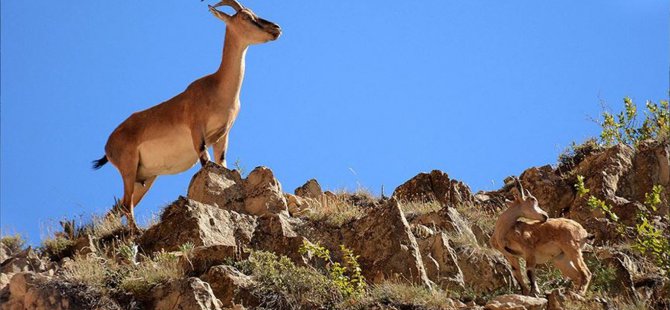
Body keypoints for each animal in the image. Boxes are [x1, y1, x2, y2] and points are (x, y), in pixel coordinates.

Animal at [92, 0, 280, 232]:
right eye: (245, 16)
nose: (276, 28)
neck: (217, 88)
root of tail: (108, 146)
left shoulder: (222, 135)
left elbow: (222, 163)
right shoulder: (197, 130)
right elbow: (205, 162)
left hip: (144, 178)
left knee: (118, 208)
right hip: (128, 168)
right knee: (126, 205)